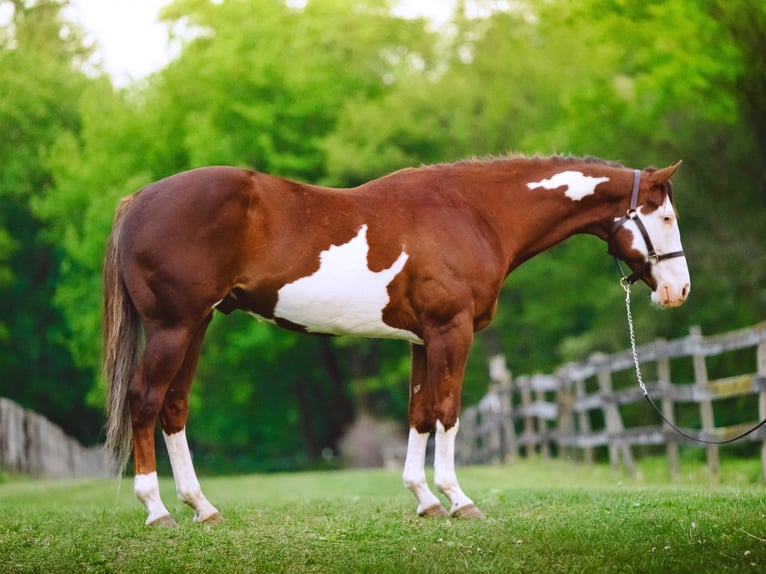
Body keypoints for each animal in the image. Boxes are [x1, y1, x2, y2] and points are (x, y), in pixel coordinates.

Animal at [103, 155, 690, 526]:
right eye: (663, 215)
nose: (678, 290)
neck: (472, 213)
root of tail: (139, 199)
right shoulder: (451, 331)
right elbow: (448, 412)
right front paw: (459, 501)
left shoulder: (421, 340)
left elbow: (420, 413)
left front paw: (425, 500)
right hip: (173, 328)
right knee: (145, 402)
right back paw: (156, 510)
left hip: (196, 325)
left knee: (173, 408)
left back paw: (202, 508)